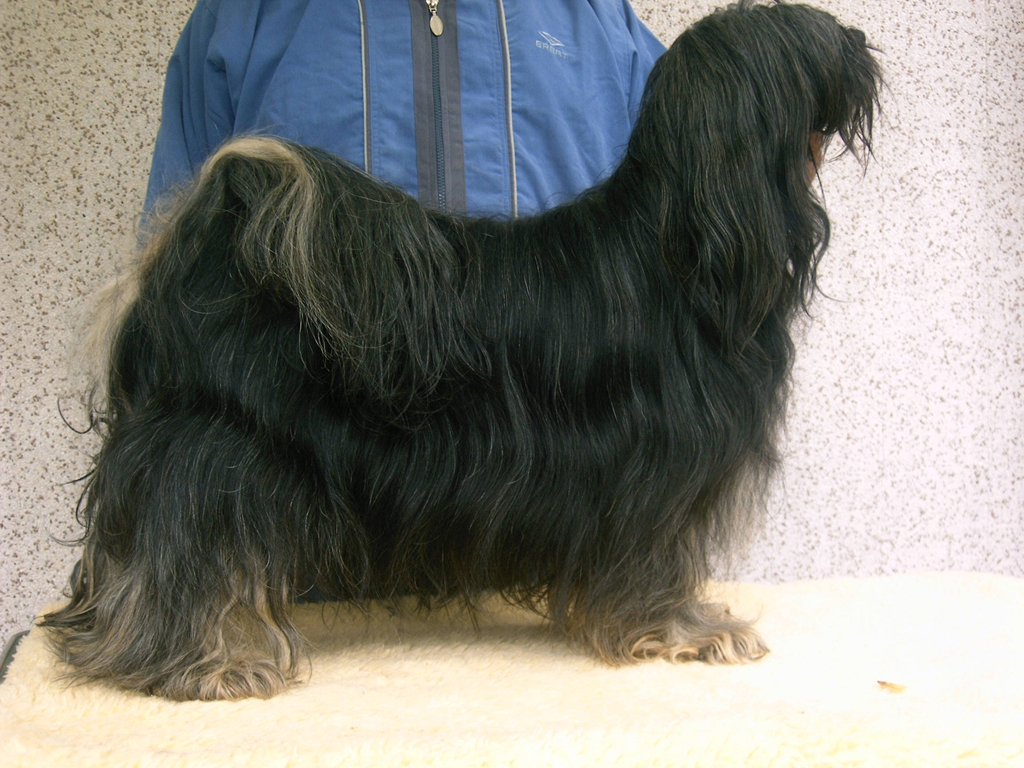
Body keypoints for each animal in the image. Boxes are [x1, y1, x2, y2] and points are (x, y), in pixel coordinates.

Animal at [42, 1, 880, 700]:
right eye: (818, 36)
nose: (862, 39)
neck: (677, 239)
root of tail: (203, 235)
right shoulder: (654, 473)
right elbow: (656, 565)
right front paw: (686, 631)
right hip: (217, 453)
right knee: (185, 558)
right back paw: (208, 662)